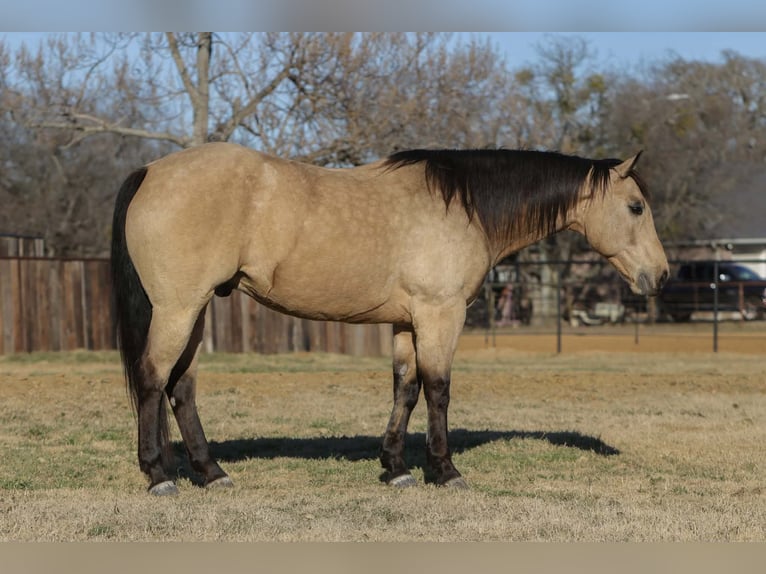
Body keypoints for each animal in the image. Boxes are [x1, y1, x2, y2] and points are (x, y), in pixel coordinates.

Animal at [110, 142, 669, 495]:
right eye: (636, 207)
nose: (660, 275)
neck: (464, 206)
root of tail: (151, 171)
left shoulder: (407, 321)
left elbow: (406, 388)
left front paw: (396, 468)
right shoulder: (441, 314)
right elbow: (438, 389)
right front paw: (444, 470)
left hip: (196, 309)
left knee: (181, 387)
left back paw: (210, 473)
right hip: (179, 308)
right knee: (153, 378)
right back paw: (159, 476)